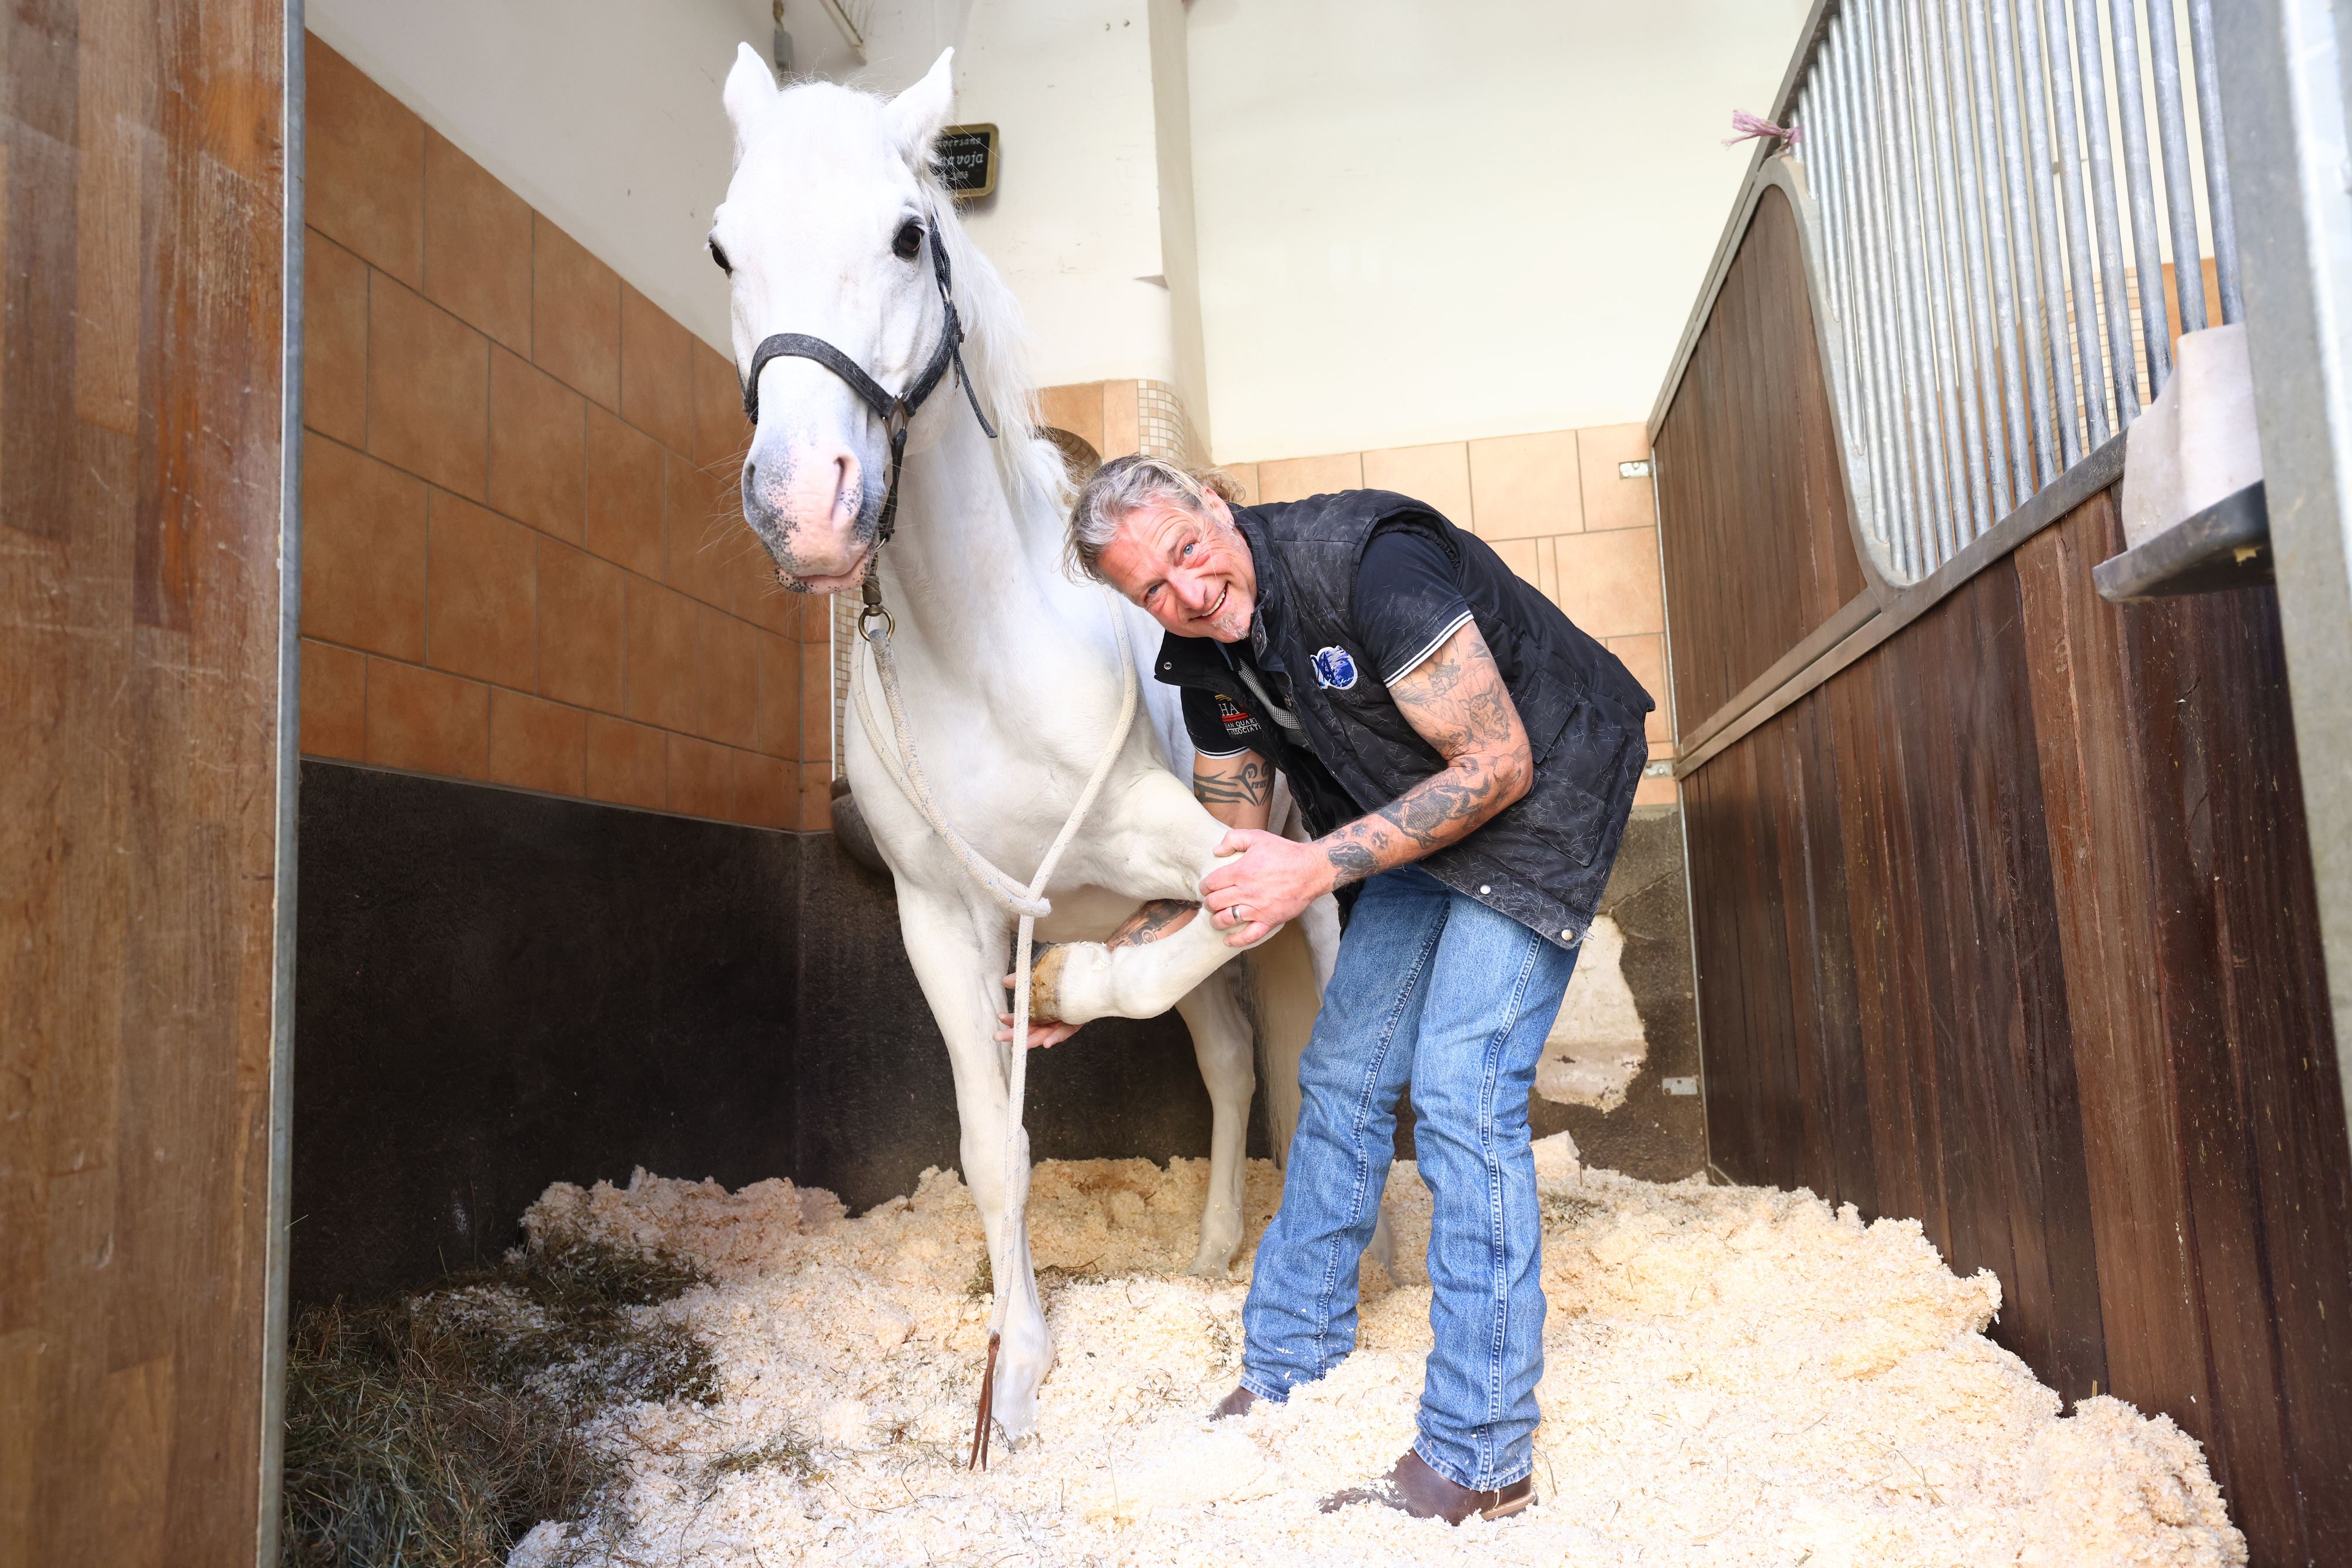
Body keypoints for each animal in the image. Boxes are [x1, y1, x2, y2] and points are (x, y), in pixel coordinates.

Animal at [713, 45, 1351, 1443]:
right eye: (725, 248)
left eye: (910, 235)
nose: (803, 506)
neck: (983, 654)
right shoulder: (937, 921)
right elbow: (992, 1146)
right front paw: (1015, 1371)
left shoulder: (1198, 851)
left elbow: (1160, 979)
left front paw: (1065, 992)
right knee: (1232, 1061)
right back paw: (1211, 1250)